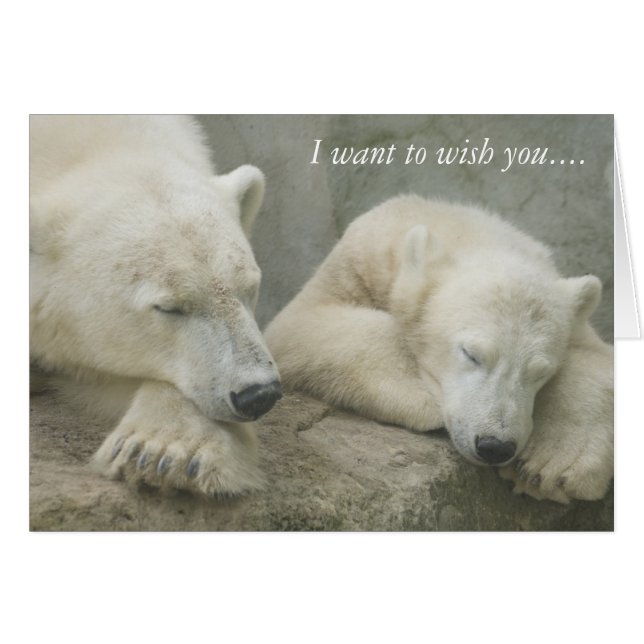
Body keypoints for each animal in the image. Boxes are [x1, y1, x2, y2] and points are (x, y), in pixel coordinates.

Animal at [264, 195, 613, 503]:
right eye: (471, 354)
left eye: (540, 373)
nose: (495, 446)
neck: (459, 228)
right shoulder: (355, 267)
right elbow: (304, 323)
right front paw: (420, 398)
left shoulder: (576, 327)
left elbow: (595, 361)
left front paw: (548, 467)